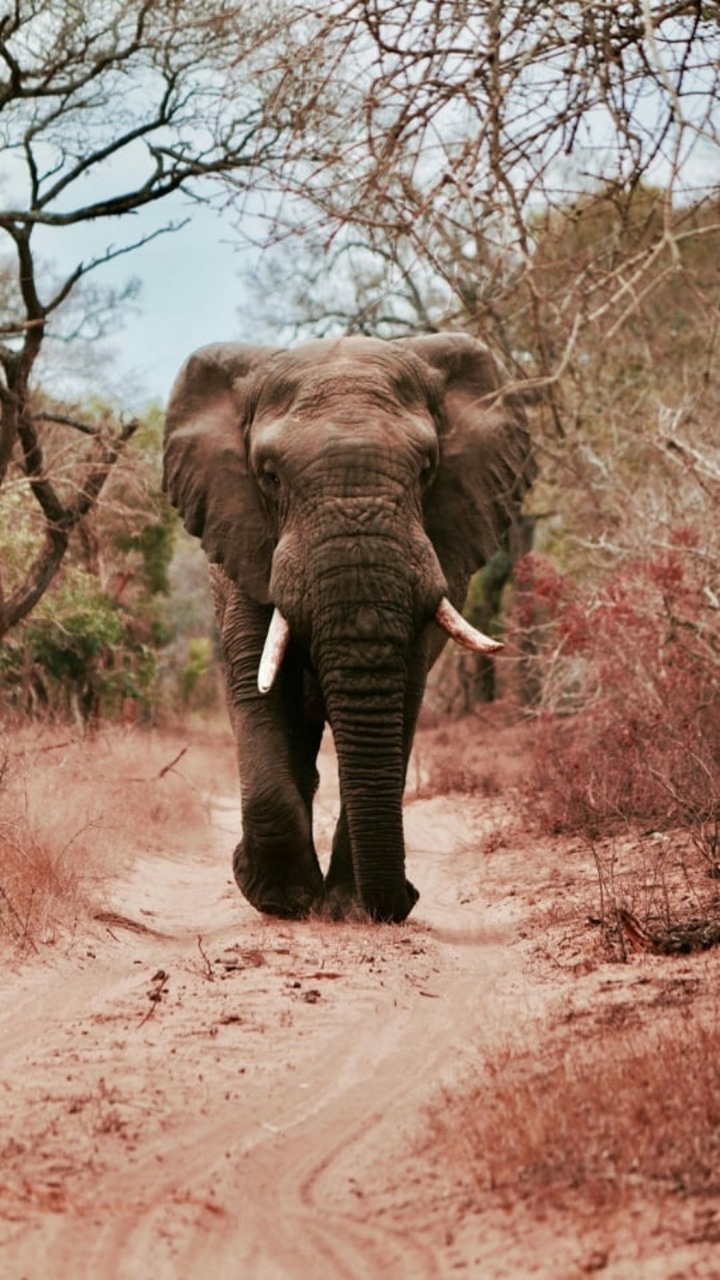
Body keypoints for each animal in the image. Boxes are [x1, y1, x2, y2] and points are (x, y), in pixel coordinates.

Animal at [163, 333, 535, 923]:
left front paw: (346, 907)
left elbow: (404, 693)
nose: (406, 898)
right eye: (269, 475)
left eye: (427, 469)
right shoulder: (244, 542)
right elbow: (257, 685)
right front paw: (281, 899)